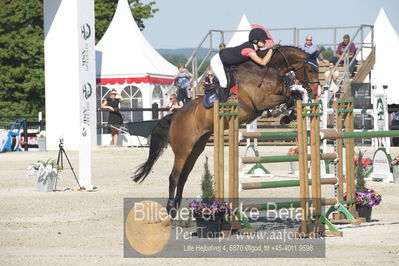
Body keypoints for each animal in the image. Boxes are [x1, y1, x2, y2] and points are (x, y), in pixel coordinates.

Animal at [133, 45, 320, 212]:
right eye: (310, 69)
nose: (315, 91)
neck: (267, 70)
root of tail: (175, 116)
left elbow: (293, 96)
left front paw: (287, 115)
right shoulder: (261, 101)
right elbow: (289, 98)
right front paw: (282, 114)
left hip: (196, 149)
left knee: (184, 176)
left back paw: (179, 207)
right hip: (182, 150)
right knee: (174, 176)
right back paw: (171, 209)